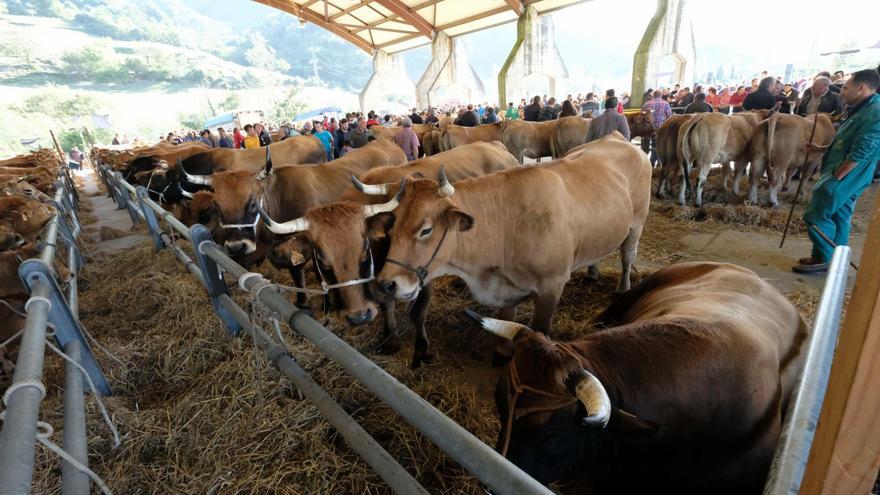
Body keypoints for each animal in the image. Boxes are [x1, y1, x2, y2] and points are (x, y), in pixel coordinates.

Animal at [262, 141, 524, 366]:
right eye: (323, 262)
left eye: (363, 251)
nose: (358, 317)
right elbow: (386, 304)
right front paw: (390, 338)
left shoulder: (422, 272)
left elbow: (417, 313)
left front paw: (421, 350)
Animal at [374, 132, 648, 340]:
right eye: (391, 228)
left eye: (426, 230)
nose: (386, 283)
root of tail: (616, 137)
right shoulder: (506, 289)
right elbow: (507, 324)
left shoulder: (552, 285)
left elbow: (540, 331)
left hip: (636, 223)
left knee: (627, 256)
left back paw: (622, 288)